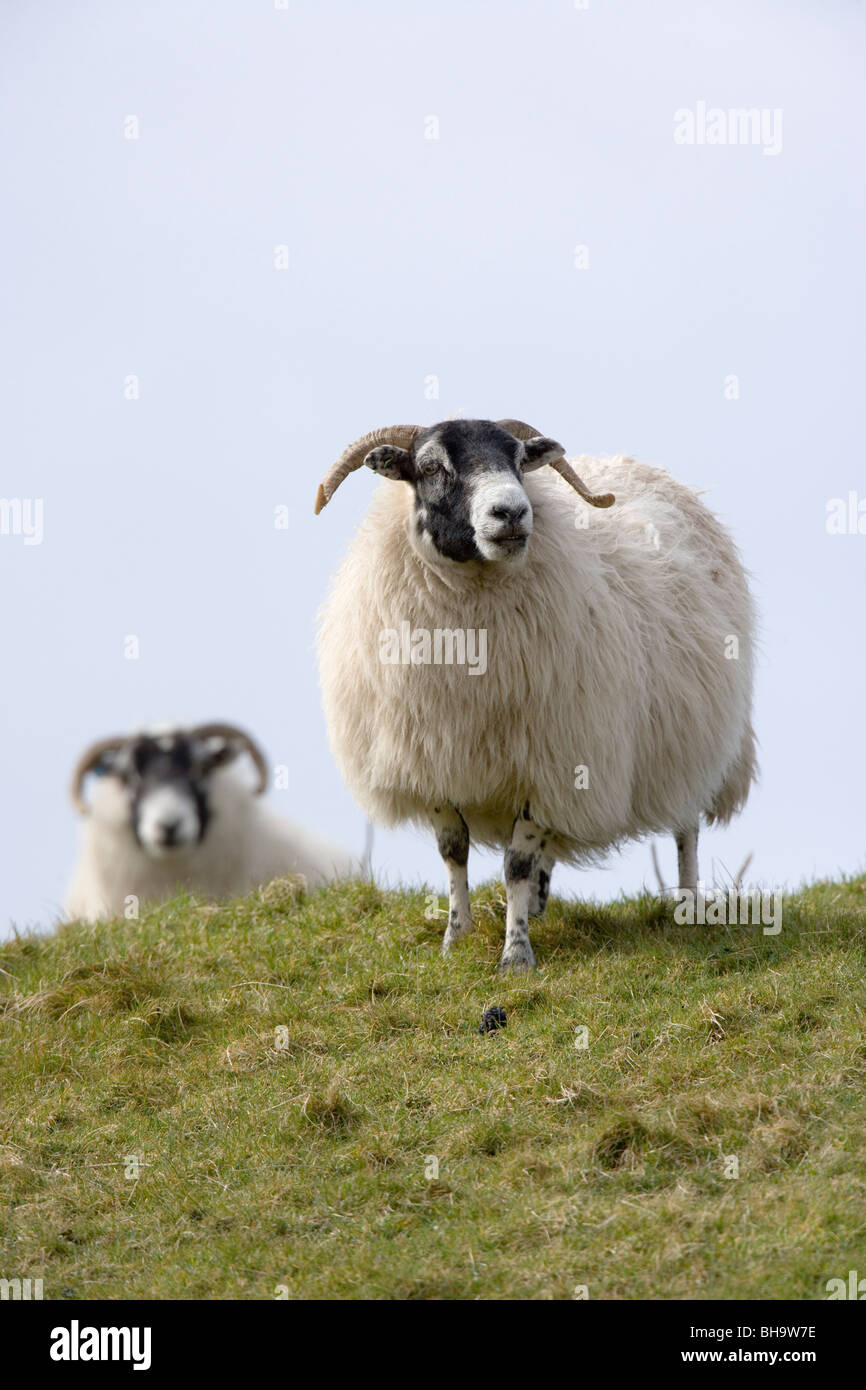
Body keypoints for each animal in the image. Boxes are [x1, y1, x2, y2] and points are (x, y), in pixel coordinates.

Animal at [315, 418, 757, 973]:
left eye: (519, 459)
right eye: (432, 466)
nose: (511, 512)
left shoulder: (552, 763)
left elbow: (517, 864)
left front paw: (515, 954)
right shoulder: (433, 761)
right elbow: (454, 851)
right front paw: (455, 937)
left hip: (690, 736)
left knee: (686, 828)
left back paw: (689, 904)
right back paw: (542, 904)